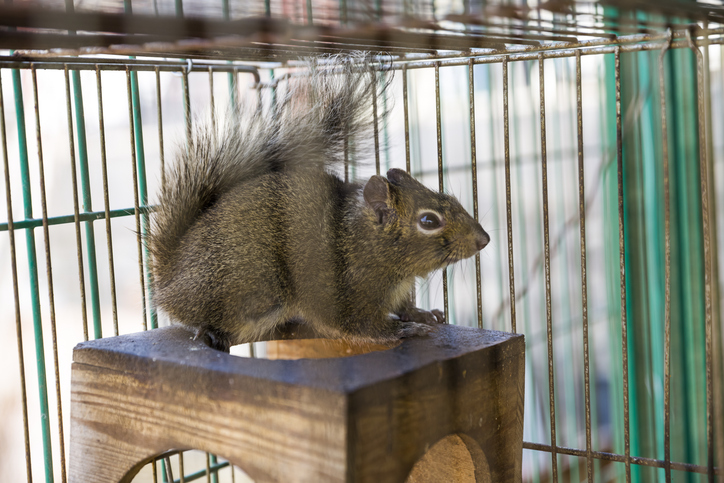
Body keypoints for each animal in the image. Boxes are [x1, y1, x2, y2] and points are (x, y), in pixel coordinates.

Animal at [146, 55, 492, 352]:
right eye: (429, 221)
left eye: (450, 198)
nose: (484, 239)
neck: (364, 243)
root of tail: (170, 279)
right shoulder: (343, 297)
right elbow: (363, 328)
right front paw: (405, 329)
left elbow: (403, 307)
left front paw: (420, 314)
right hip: (253, 286)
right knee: (204, 318)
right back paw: (210, 331)